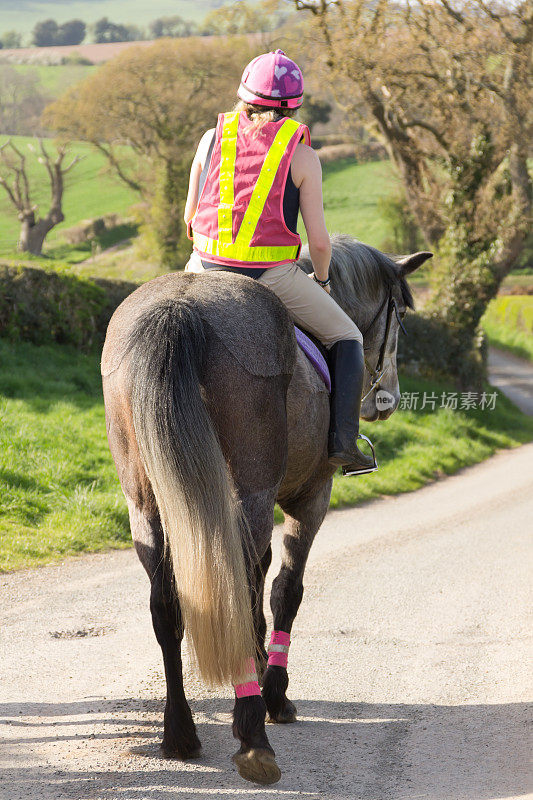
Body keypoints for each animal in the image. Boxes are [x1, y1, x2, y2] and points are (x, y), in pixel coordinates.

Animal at [101, 234, 432, 784]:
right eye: (401, 313)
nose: (387, 399)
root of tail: (180, 306)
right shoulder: (311, 497)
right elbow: (285, 590)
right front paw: (274, 692)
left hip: (144, 506)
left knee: (166, 606)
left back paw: (180, 733)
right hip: (251, 494)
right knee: (240, 591)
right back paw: (253, 733)